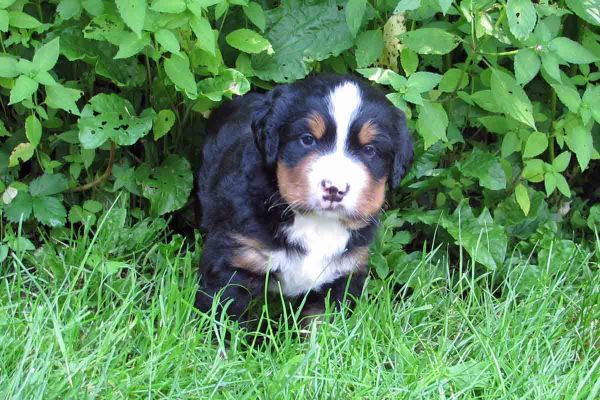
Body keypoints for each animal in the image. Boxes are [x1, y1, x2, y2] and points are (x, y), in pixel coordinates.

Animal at [197, 72, 412, 322]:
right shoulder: (235, 263)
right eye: (307, 139)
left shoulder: (342, 276)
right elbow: (222, 320)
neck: (317, 224)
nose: (334, 189)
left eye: (369, 150)